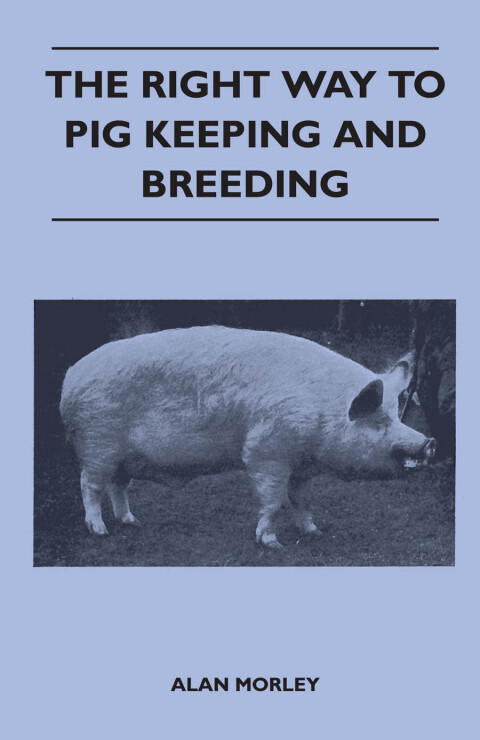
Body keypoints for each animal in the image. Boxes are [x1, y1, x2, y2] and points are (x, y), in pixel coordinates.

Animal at [60, 326, 436, 548]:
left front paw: (314, 532)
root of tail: (70, 379)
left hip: (121, 456)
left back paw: (131, 522)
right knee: (89, 486)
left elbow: (301, 500)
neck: (322, 411)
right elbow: (272, 501)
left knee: (117, 486)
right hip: (99, 444)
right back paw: (100, 530)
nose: (429, 442)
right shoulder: (266, 451)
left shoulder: (301, 465)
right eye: (379, 420)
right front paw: (272, 543)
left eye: (396, 413)